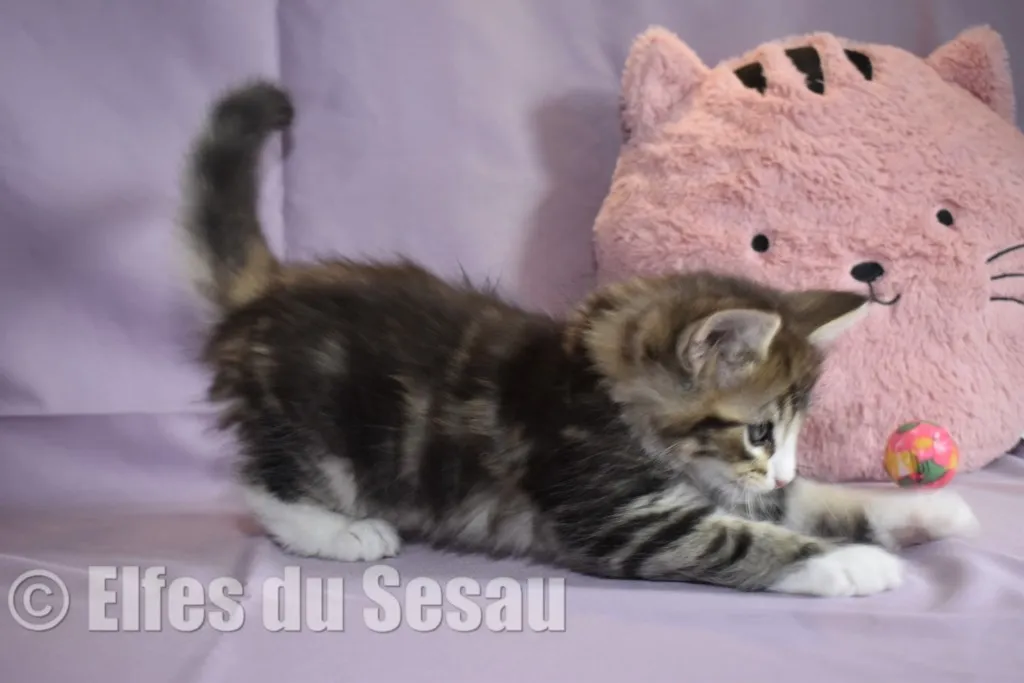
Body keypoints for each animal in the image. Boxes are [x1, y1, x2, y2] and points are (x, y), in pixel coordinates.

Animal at [179, 81, 978, 597]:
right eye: (758, 431)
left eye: (793, 434)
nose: (777, 470)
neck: (604, 395)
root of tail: (268, 290)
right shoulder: (622, 517)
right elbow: (743, 537)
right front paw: (853, 564)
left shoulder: (725, 489)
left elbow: (821, 500)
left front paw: (928, 509)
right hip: (322, 424)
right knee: (263, 480)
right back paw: (338, 530)